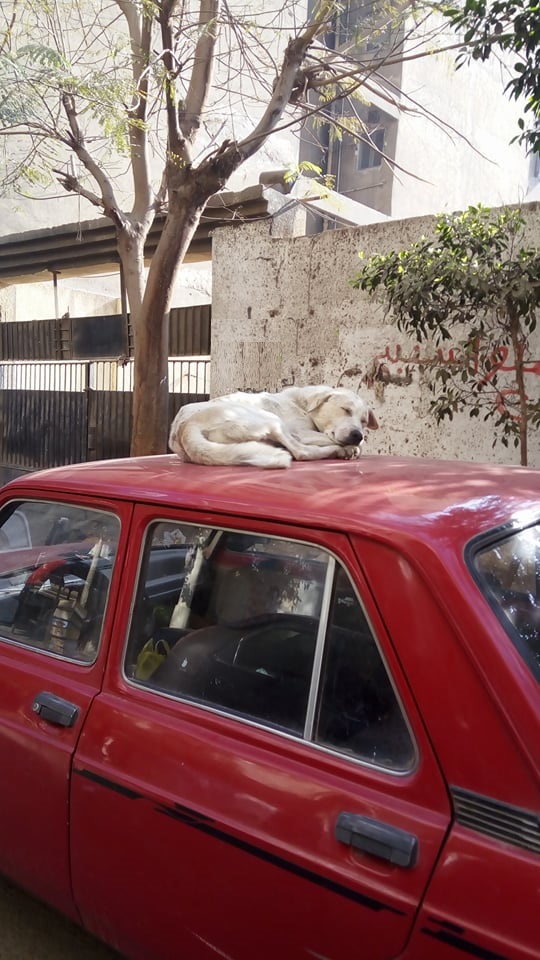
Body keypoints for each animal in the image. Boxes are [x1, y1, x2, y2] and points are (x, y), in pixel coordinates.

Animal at [170, 384, 380, 470]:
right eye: (345, 409)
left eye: (363, 421)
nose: (357, 435)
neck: (301, 404)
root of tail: (185, 428)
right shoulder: (301, 433)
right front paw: (351, 447)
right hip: (271, 419)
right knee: (301, 452)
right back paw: (339, 451)